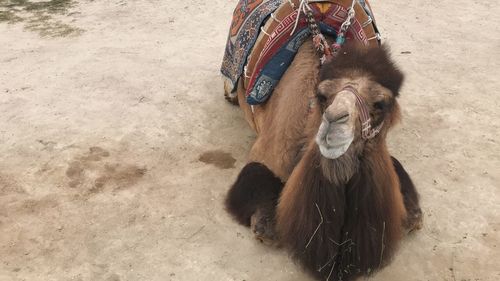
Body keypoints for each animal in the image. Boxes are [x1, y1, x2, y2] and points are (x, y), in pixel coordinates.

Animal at [225, 40, 424, 280]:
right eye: (322, 96)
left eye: (380, 104)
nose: (335, 121)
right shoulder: (267, 151)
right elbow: (266, 220)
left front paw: (413, 213)